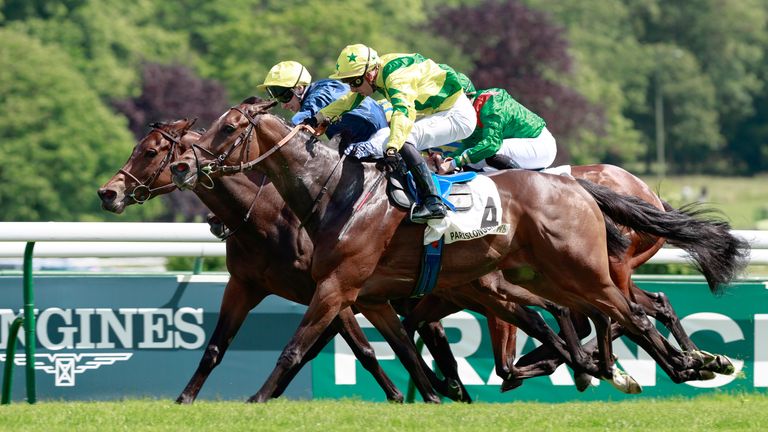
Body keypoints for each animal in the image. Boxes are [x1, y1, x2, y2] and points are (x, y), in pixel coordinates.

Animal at [170, 98, 752, 402]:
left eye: (228, 126)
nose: (184, 163)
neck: (335, 192)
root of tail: (582, 187)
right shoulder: (374, 294)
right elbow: (403, 346)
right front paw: (435, 392)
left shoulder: (339, 286)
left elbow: (298, 348)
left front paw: (257, 399)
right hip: (561, 275)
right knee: (628, 312)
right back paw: (678, 364)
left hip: (583, 270)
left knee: (631, 314)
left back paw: (678, 366)